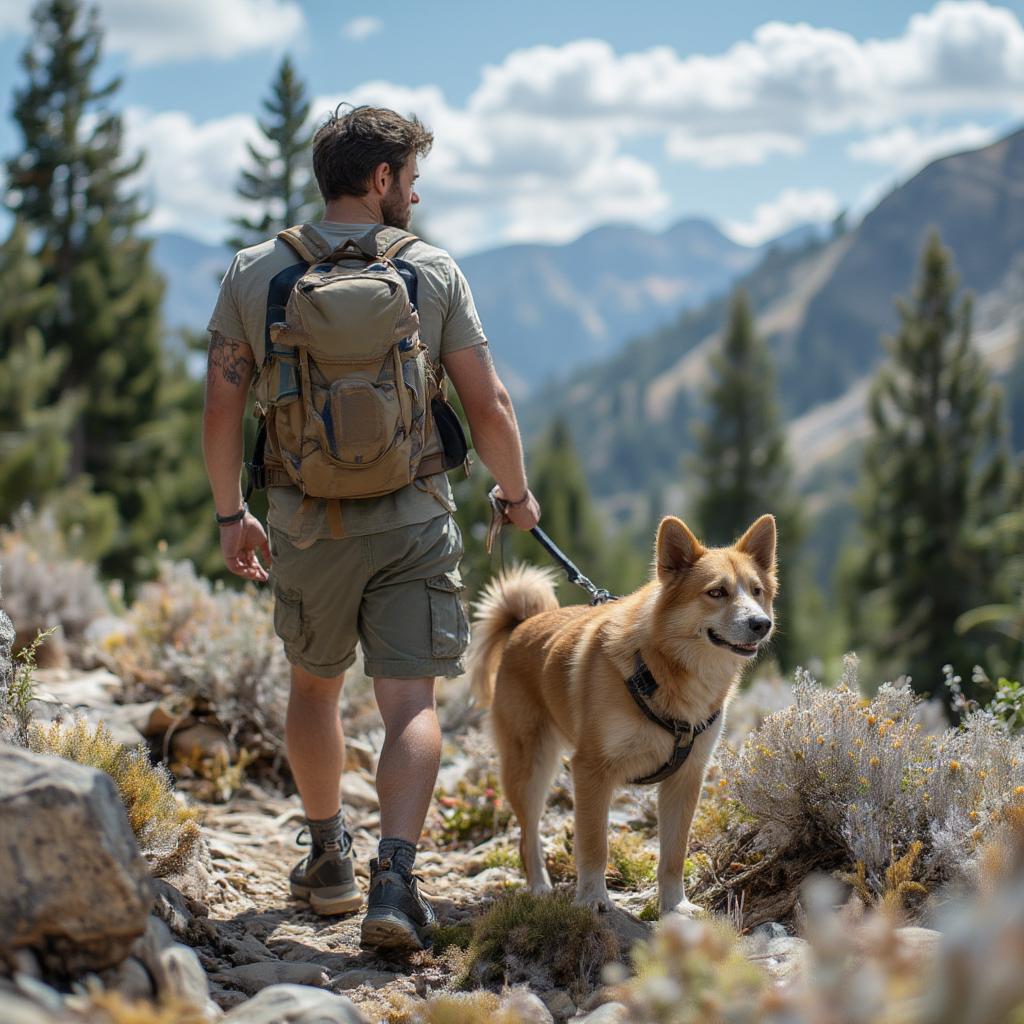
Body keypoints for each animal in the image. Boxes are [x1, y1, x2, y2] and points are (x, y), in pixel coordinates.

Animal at [468, 516, 774, 917]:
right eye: (717, 592)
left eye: (756, 591)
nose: (762, 623)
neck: (663, 670)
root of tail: (524, 623)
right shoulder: (591, 770)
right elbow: (594, 844)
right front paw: (592, 899)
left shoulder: (686, 778)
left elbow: (673, 854)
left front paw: (675, 905)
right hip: (530, 766)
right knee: (528, 834)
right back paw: (539, 886)